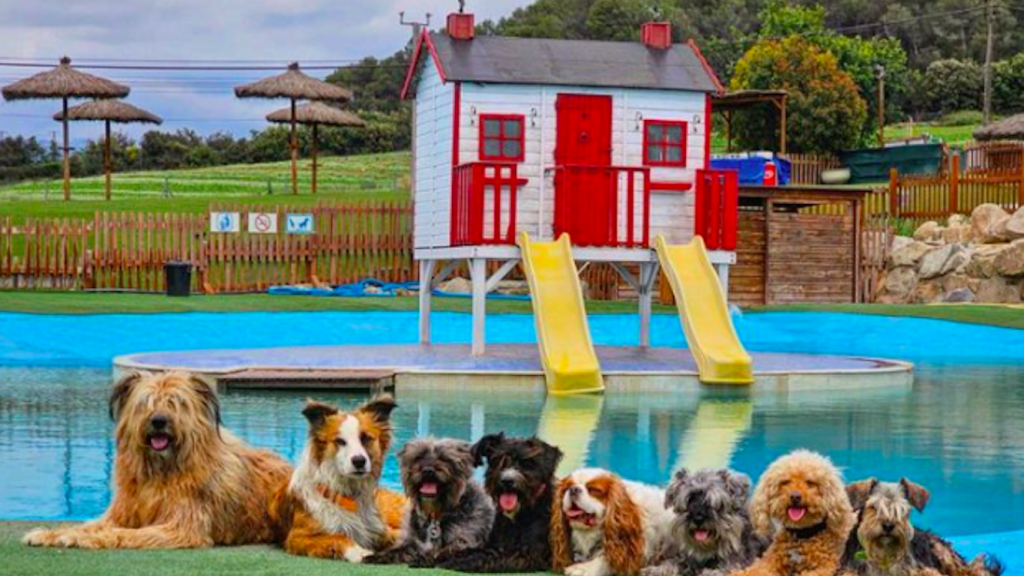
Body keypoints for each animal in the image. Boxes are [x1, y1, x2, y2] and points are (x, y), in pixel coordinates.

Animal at [22, 368, 292, 549]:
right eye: (145, 403)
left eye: (177, 403)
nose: (159, 421)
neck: (161, 470)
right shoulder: (122, 511)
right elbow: (92, 524)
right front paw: (52, 533)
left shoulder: (181, 526)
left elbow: (125, 534)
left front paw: (85, 538)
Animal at [638, 467, 770, 573]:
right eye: (690, 499)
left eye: (714, 501)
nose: (698, 518)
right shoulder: (686, 559)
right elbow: (672, 563)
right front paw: (655, 570)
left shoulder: (735, 564)